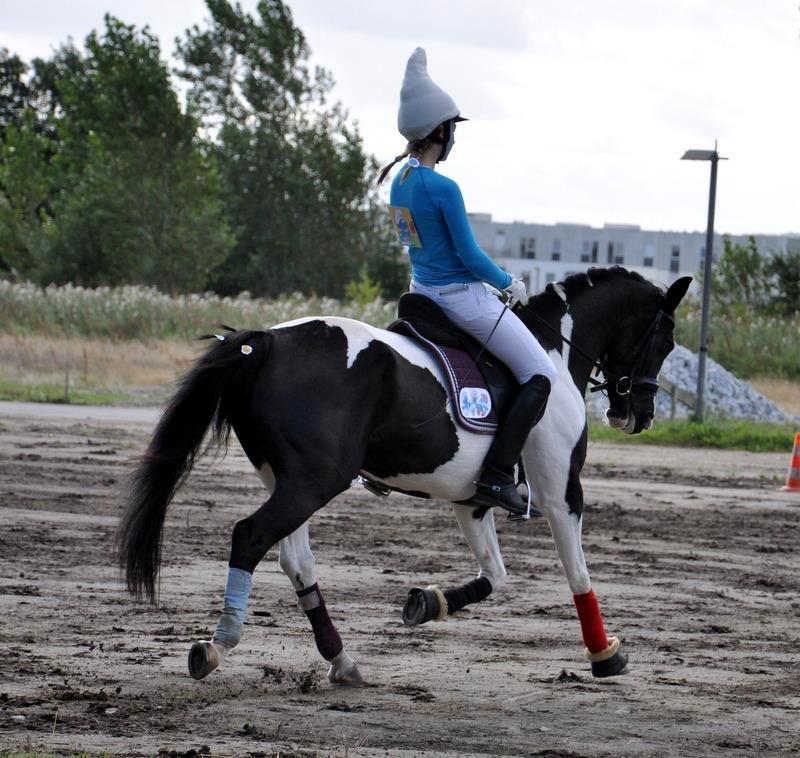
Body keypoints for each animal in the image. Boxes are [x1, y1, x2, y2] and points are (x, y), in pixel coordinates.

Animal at [118, 267, 692, 685]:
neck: (554, 349)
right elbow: (579, 576)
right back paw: (217, 645)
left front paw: (428, 602)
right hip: (314, 482)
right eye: (665, 340)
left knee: (293, 559)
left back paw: (342, 661)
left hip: (290, 481)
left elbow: (496, 574)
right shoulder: (560, 494)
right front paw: (605, 655)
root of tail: (264, 341)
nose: (639, 415)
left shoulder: (473, 501)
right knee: (250, 537)